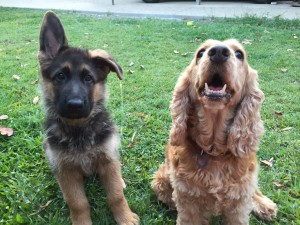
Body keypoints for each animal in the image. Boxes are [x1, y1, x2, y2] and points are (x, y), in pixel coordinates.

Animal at [38, 11, 139, 224]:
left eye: (88, 78)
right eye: (60, 76)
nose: (75, 105)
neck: (79, 129)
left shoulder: (108, 160)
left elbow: (116, 195)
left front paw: (125, 217)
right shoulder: (66, 170)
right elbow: (78, 203)